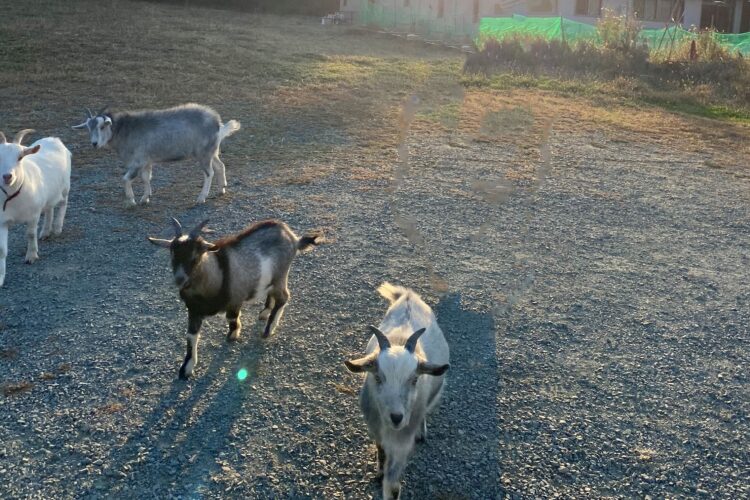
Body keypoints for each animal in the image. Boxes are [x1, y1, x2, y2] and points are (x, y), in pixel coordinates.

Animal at [0, 131, 71, 288]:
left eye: (20, 157)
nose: (7, 176)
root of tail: (54, 139)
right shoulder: (2, 221)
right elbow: (2, 250)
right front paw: (0, 277)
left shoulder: (33, 215)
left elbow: (30, 234)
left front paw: (31, 256)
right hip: (49, 194)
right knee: (50, 209)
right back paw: (45, 232)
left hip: (65, 186)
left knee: (63, 203)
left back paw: (57, 227)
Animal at [72, 103, 239, 205]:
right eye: (89, 128)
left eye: (102, 127)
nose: (94, 143)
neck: (125, 130)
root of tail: (217, 123)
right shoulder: (146, 160)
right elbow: (146, 178)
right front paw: (145, 198)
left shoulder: (137, 161)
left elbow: (126, 179)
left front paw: (132, 200)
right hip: (211, 151)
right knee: (220, 166)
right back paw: (221, 189)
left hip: (203, 153)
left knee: (209, 173)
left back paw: (201, 197)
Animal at [348, 284, 452, 498]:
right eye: (377, 377)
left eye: (414, 379)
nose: (396, 417)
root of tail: (408, 296)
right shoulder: (376, 430)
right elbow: (381, 452)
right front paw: (379, 472)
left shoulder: (403, 439)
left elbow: (394, 483)